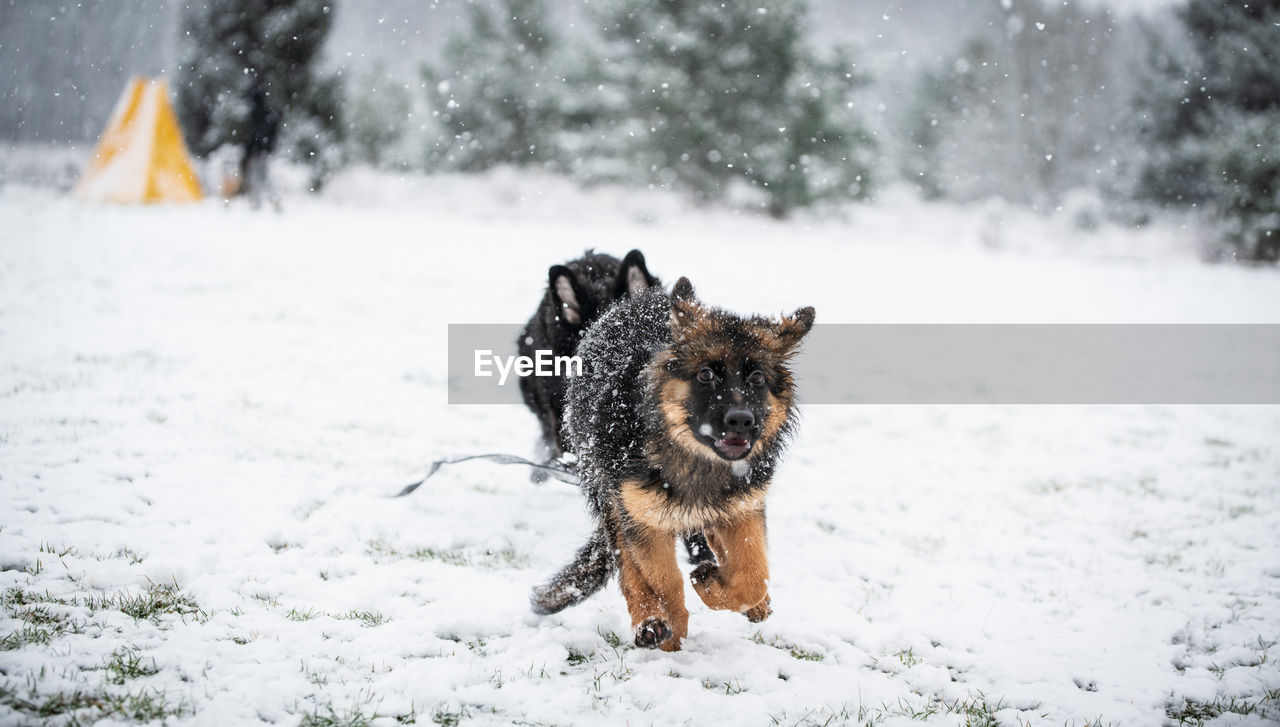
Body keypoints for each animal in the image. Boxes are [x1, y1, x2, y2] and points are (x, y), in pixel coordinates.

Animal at [532, 275, 814, 650]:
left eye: (756, 379)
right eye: (706, 375)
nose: (742, 421)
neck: (695, 458)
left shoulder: (743, 506)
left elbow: (755, 575)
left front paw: (715, 585)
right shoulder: (641, 517)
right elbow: (664, 582)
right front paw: (671, 631)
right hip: (609, 495)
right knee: (628, 566)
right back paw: (648, 620)